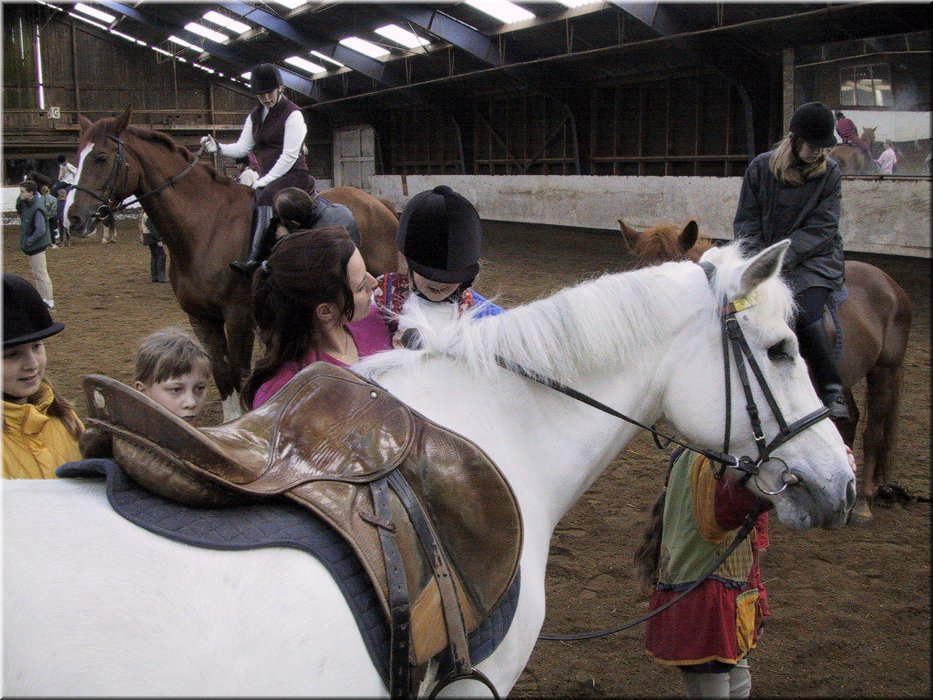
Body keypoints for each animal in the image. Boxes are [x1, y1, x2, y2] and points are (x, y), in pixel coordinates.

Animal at [63, 106, 400, 421]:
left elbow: (239, 370)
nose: (73, 218)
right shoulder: (201, 318)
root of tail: (378, 204)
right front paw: (230, 419)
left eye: (101, 158)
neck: (206, 227)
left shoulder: (238, 317)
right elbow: (220, 370)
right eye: (77, 157)